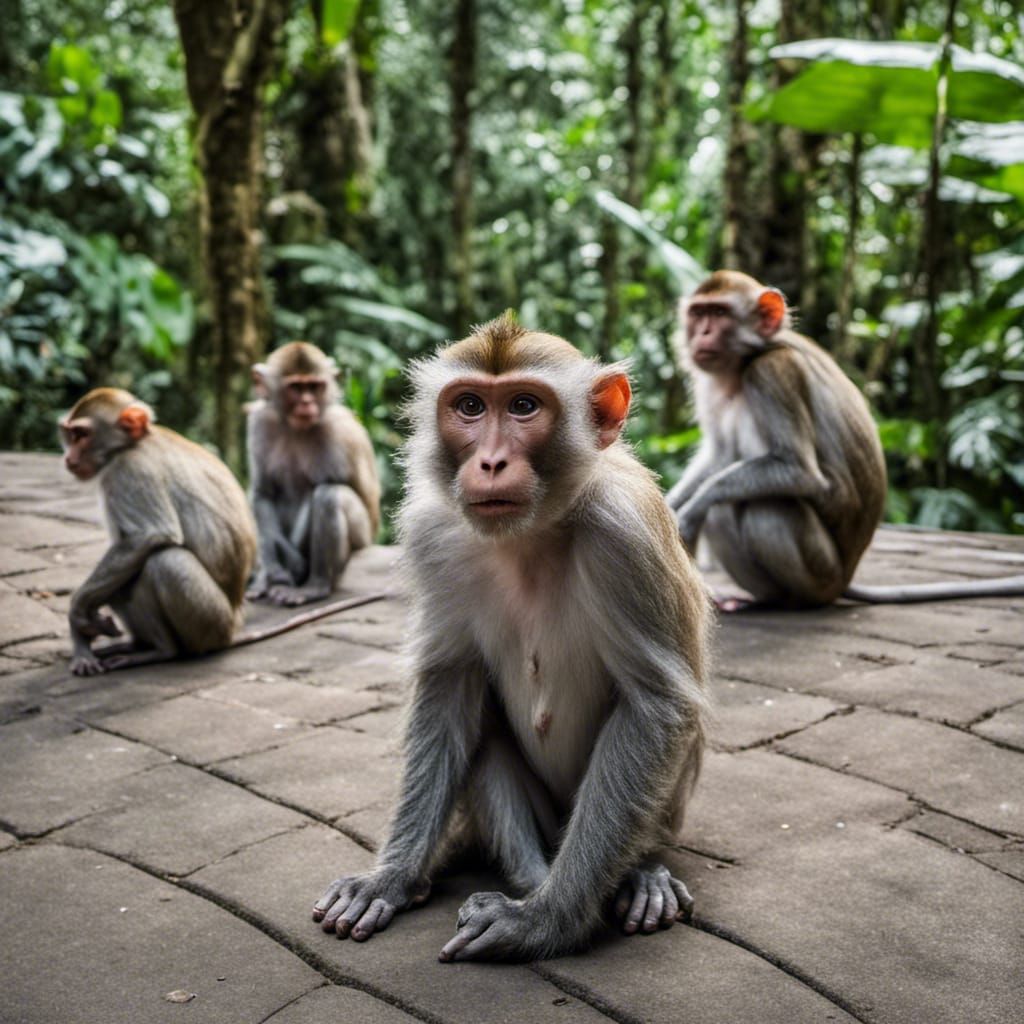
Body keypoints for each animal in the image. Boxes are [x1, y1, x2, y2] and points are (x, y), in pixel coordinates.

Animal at [59, 388, 257, 676]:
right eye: (70, 435)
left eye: (81, 435)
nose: (68, 457)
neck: (133, 443)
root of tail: (234, 624)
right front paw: (85, 632)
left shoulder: (130, 469)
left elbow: (151, 535)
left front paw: (77, 614)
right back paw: (138, 644)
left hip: (212, 623)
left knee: (164, 559)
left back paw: (162, 650)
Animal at [246, 341, 381, 607]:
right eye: (296, 388)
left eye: (315, 387)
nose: (307, 403)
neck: (296, 428)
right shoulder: (260, 421)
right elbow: (262, 493)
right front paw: (271, 571)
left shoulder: (339, 431)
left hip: (360, 541)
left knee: (329, 495)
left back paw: (315, 585)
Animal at [312, 314, 711, 963]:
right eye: (470, 406)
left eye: (524, 406)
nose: (492, 462)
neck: (532, 533)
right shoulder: (433, 530)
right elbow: (449, 682)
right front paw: (390, 877)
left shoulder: (626, 530)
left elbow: (656, 706)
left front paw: (547, 921)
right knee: (484, 734)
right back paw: (525, 876)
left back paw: (630, 877)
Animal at [666, 270, 1024, 607]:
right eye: (698, 313)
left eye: (719, 313)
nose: (702, 334)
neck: (744, 364)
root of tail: (847, 575)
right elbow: (719, 454)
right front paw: (671, 505)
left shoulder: (774, 371)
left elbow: (798, 470)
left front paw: (692, 509)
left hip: (822, 569)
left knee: (759, 506)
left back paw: (787, 601)